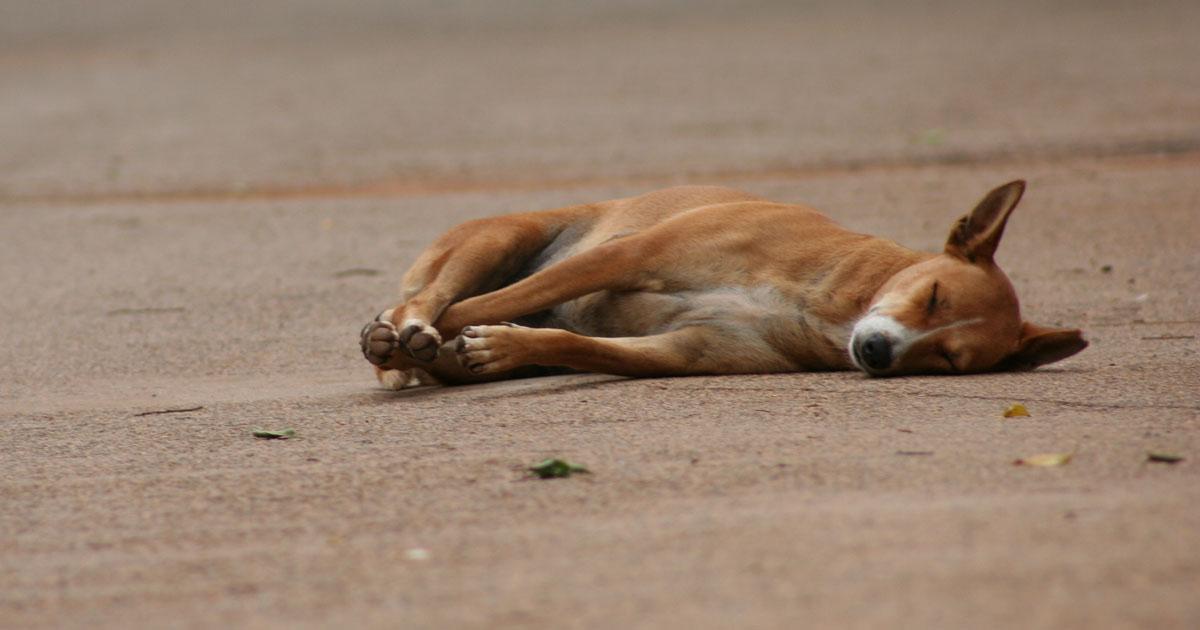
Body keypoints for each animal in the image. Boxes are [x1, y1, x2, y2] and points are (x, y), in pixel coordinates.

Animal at [355, 178, 1089, 386]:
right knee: (434, 297)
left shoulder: (685, 351)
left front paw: (509, 344)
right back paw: (400, 331)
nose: (877, 352)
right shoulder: (628, 256)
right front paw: (402, 334)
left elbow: (580, 345)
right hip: (498, 240)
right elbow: (488, 303)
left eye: (949, 359)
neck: (823, 300)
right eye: (933, 295)